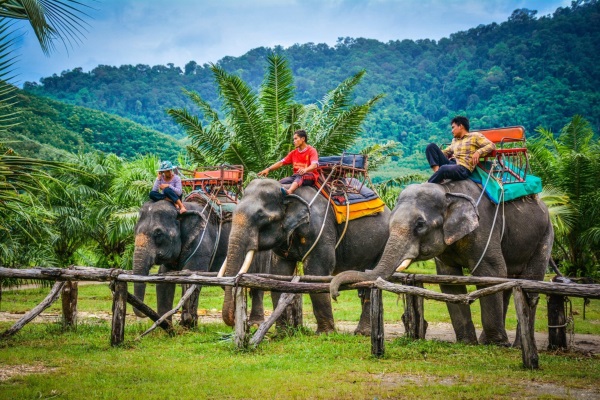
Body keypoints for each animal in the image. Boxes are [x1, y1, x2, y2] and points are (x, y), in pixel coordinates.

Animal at [134, 198, 268, 326]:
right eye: (135, 231)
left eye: (158, 233)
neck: (183, 208)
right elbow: (164, 281)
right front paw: (166, 326)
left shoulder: (202, 243)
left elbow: (194, 277)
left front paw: (189, 324)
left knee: (257, 284)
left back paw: (256, 323)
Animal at [219, 178, 390, 334]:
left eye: (261, 216)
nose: (244, 325)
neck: (287, 189)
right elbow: (279, 275)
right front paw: (282, 333)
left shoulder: (319, 230)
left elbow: (315, 272)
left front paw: (325, 334)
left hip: (382, 244)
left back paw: (362, 333)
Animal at [330, 181, 556, 346]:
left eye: (420, 224)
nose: (336, 294)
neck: (448, 191)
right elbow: (449, 281)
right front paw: (467, 342)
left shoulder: (484, 227)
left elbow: (491, 271)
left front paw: (494, 344)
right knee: (509, 284)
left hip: (545, 234)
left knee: (530, 285)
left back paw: (516, 344)